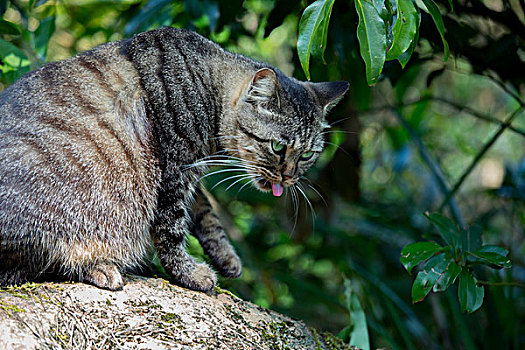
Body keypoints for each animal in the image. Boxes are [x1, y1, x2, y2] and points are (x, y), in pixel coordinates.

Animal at [0, 27, 348, 292]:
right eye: (277, 147)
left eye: (307, 154)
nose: (289, 176)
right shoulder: (174, 172)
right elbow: (172, 231)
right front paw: (190, 274)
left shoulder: (189, 173)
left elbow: (205, 211)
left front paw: (225, 255)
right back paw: (99, 267)